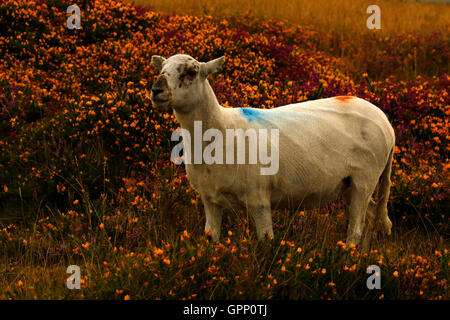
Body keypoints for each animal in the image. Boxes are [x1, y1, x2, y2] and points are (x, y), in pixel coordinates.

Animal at [150, 54, 394, 245]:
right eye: (161, 69)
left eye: (191, 72)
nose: (156, 90)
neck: (221, 130)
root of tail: (387, 124)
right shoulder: (210, 200)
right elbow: (211, 239)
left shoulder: (259, 199)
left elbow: (265, 242)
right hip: (350, 184)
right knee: (371, 216)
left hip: (365, 179)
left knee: (356, 230)